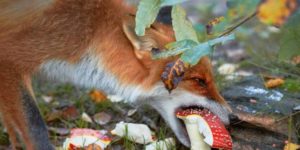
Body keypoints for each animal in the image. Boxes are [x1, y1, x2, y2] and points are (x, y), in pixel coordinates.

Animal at [0, 0, 231, 149]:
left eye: (210, 80)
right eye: (199, 81)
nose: (234, 116)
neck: (90, 30)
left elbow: (13, 124)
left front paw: (14, 144)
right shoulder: (9, 58)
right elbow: (35, 127)